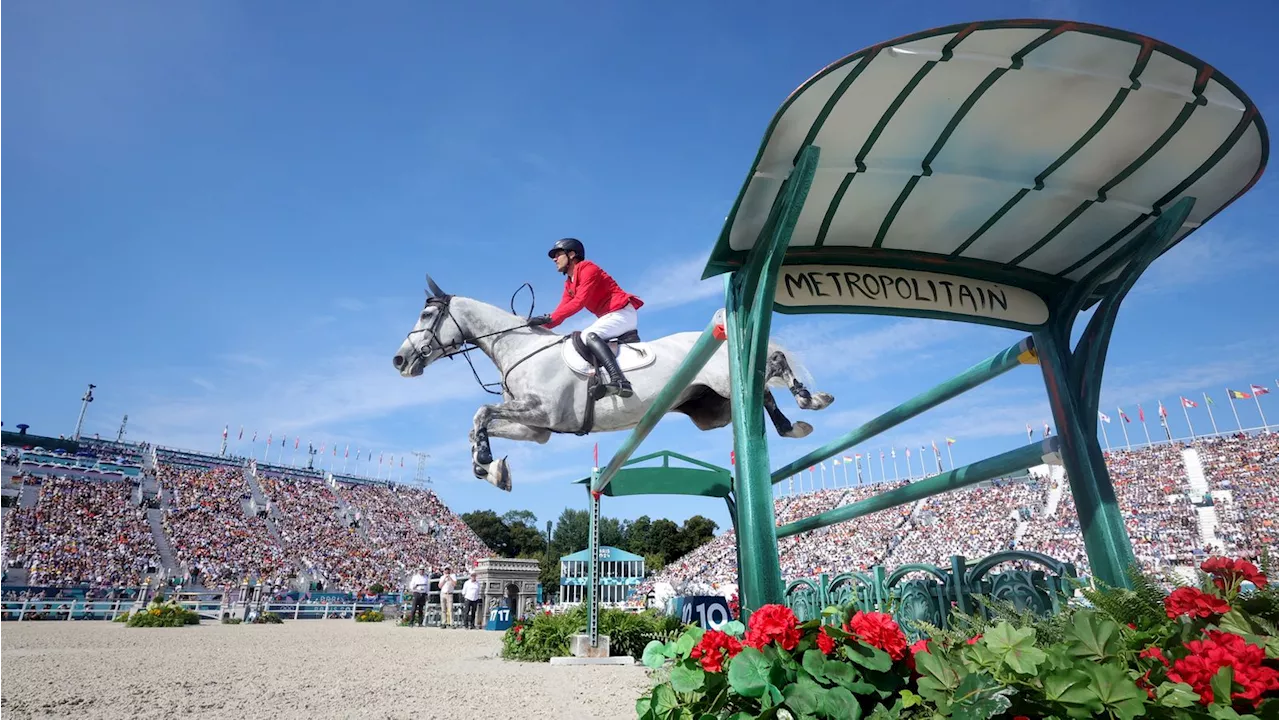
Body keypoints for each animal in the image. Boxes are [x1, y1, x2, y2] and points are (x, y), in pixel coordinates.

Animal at [389, 272, 834, 486]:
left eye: (427, 315)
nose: (399, 360)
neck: (519, 348)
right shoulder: (537, 429)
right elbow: (477, 424)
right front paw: (493, 470)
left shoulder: (540, 411)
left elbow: (481, 412)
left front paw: (485, 462)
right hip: (712, 410)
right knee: (762, 391)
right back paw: (794, 423)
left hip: (725, 379)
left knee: (772, 363)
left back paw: (808, 401)